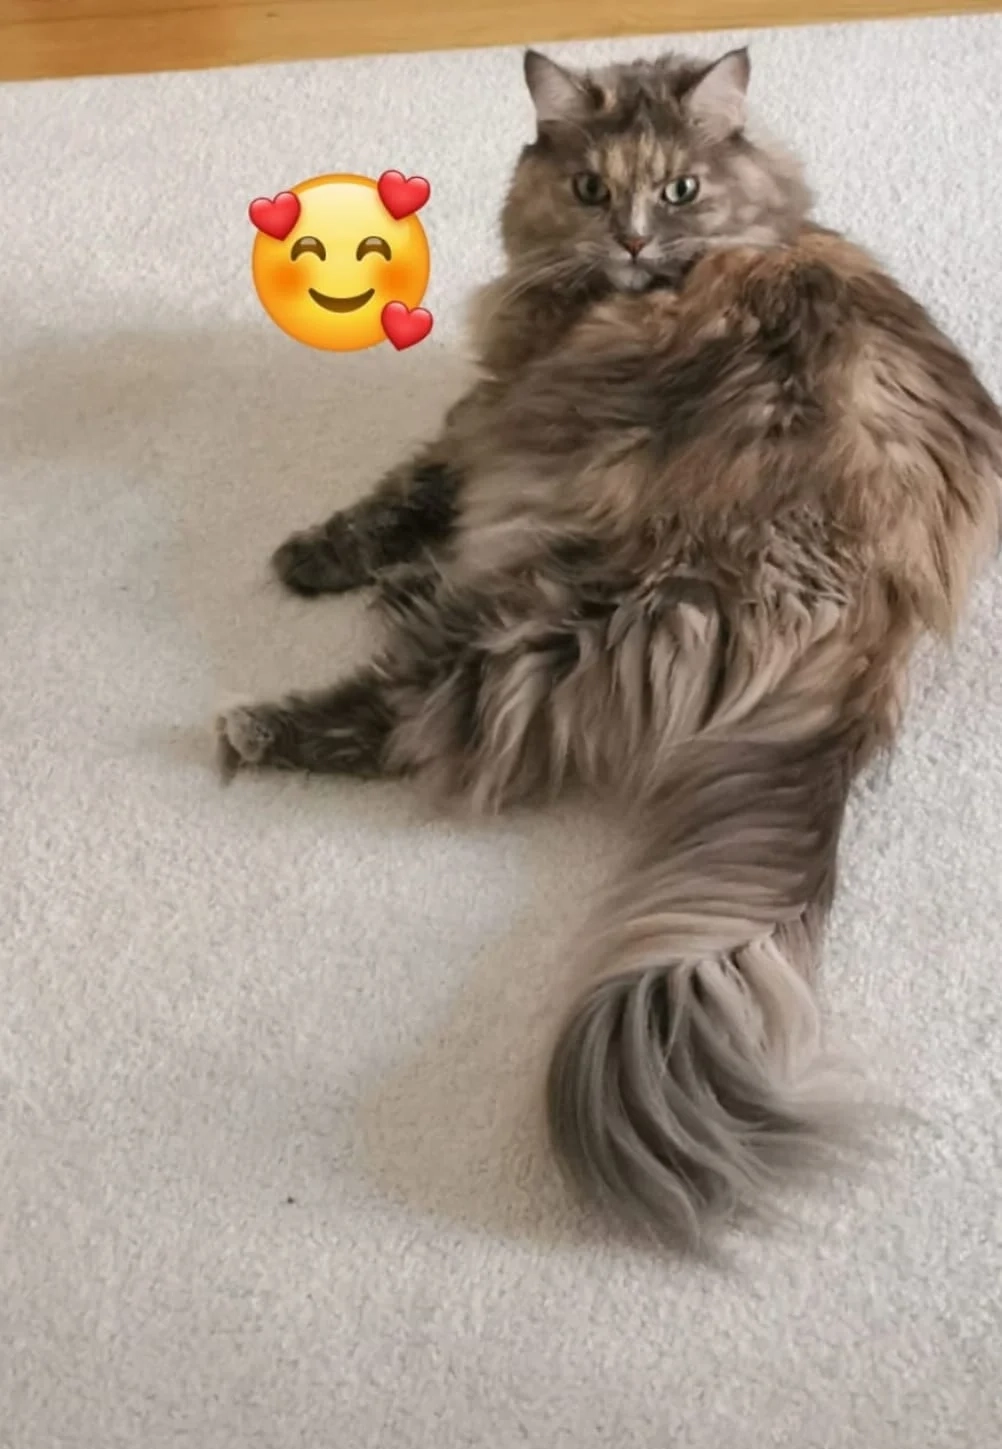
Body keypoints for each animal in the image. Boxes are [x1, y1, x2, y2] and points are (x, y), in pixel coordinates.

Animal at [217, 48, 1002, 1242]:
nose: (631, 241)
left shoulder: (483, 416)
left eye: (677, 191)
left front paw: (310, 557)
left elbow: (401, 490)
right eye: (592, 190)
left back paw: (260, 720)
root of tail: (878, 614)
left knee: (420, 716)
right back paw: (394, 598)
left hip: (576, 609)